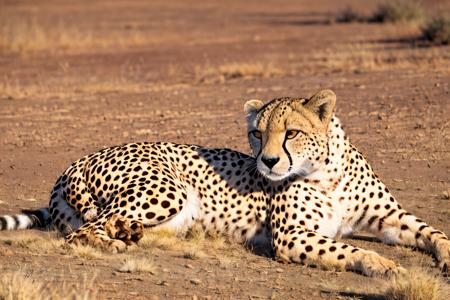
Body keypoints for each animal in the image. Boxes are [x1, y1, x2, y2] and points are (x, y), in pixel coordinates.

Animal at [0, 89, 448, 276]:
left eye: (291, 133)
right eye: (257, 133)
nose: (267, 161)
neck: (327, 172)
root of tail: (74, 162)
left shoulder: (390, 217)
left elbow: (433, 231)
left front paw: (443, 255)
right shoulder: (292, 237)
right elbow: (346, 248)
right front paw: (381, 264)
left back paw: (129, 233)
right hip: (169, 189)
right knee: (83, 233)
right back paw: (117, 242)